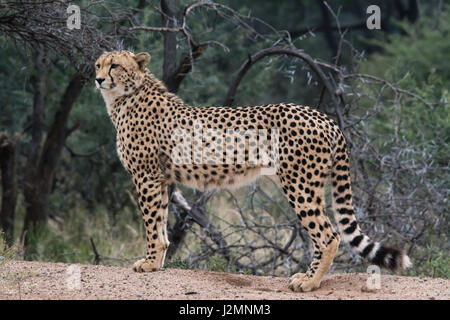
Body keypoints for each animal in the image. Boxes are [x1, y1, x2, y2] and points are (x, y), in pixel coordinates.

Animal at [95, 50, 412, 292]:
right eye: (98, 64)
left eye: (115, 66)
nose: (98, 79)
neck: (126, 97)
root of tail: (324, 117)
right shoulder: (159, 178)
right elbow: (160, 225)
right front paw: (157, 264)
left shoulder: (145, 176)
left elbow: (151, 223)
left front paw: (148, 262)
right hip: (311, 185)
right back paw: (308, 276)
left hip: (299, 184)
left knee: (328, 234)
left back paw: (310, 282)